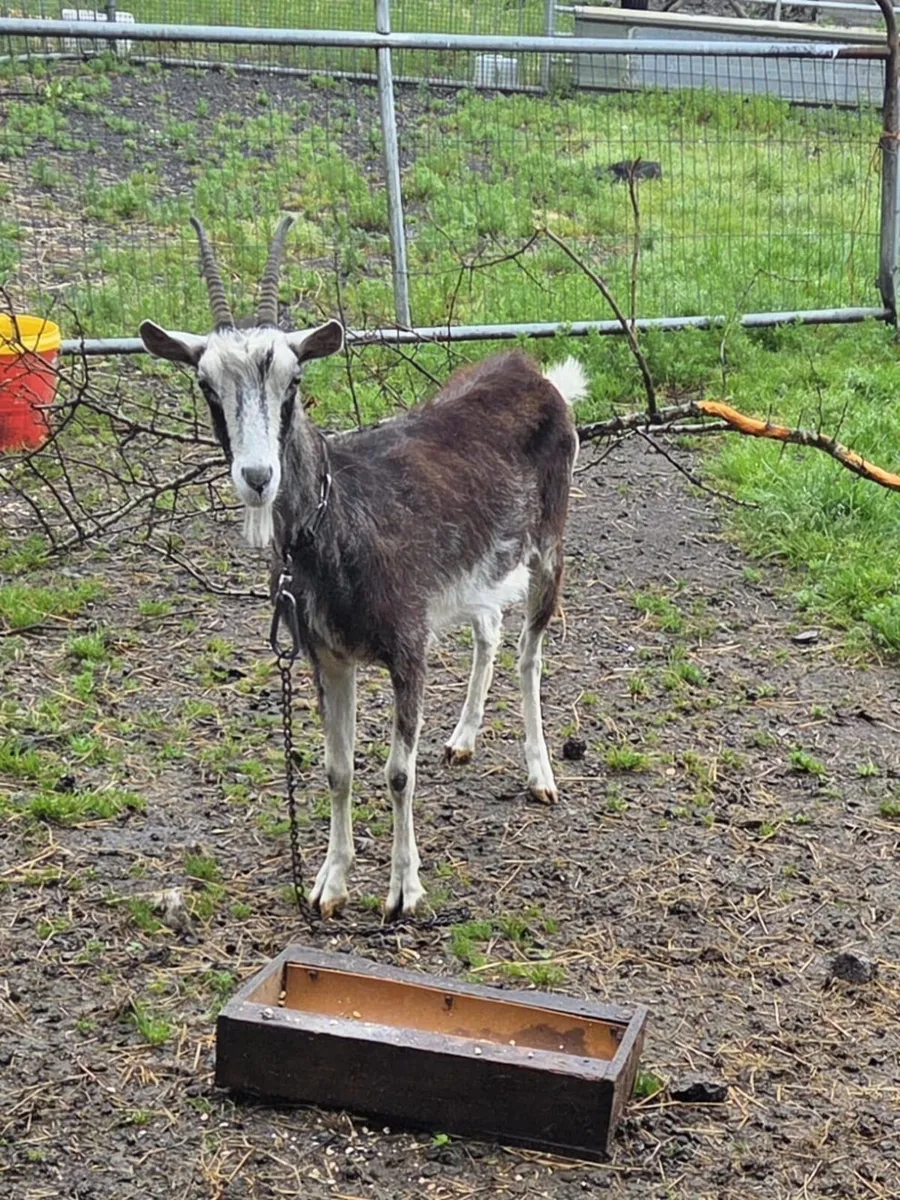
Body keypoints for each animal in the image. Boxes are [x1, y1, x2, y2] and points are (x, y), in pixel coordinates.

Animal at [139, 217, 588, 918]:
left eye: (293, 382)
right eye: (207, 386)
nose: (257, 476)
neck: (336, 519)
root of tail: (537, 374)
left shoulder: (408, 647)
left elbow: (397, 772)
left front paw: (404, 889)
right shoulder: (328, 657)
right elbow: (337, 768)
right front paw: (330, 882)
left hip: (548, 545)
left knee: (529, 652)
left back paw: (540, 773)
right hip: (480, 565)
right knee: (488, 629)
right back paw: (462, 737)